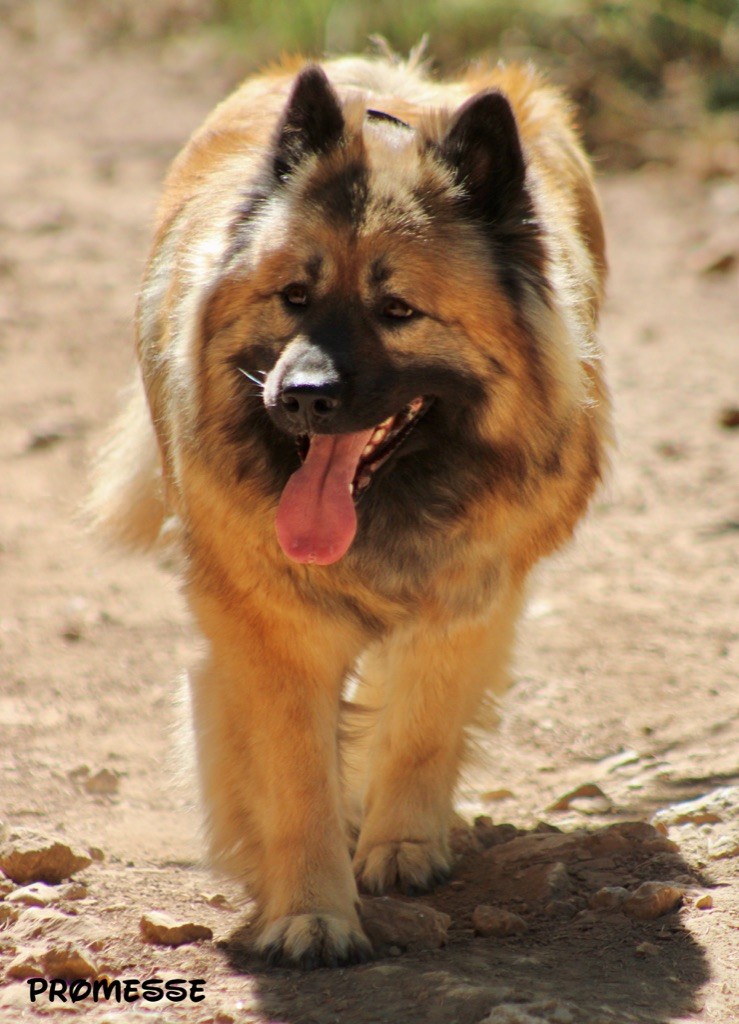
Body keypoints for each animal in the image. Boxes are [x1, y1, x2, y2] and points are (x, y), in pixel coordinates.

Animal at [89, 44, 610, 962]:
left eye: (395, 310)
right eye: (294, 295)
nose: (300, 396)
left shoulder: (466, 598)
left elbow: (422, 726)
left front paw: (401, 842)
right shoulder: (271, 629)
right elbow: (296, 778)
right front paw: (310, 913)